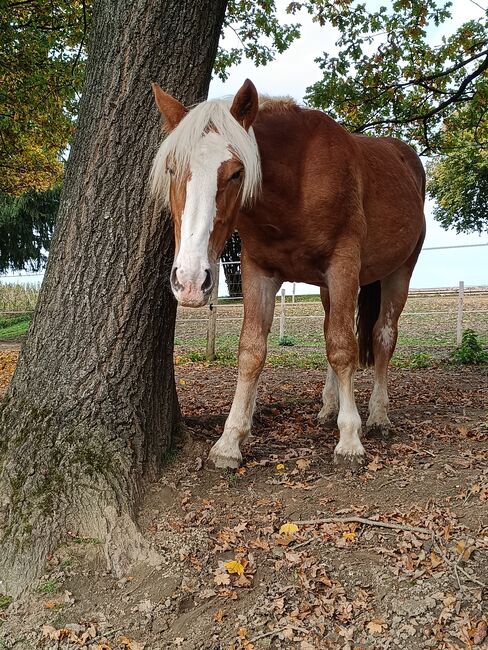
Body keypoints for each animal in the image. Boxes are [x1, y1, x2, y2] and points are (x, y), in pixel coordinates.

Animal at [151, 78, 426, 468]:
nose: (189, 281)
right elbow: (252, 351)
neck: (296, 182)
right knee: (332, 331)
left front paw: (350, 440)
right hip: (328, 288)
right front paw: (229, 442)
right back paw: (329, 409)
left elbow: (343, 347)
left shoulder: (343, 265)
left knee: (382, 337)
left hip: (399, 271)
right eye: (173, 169)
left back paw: (377, 416)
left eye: (236, 173)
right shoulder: (259, 271)